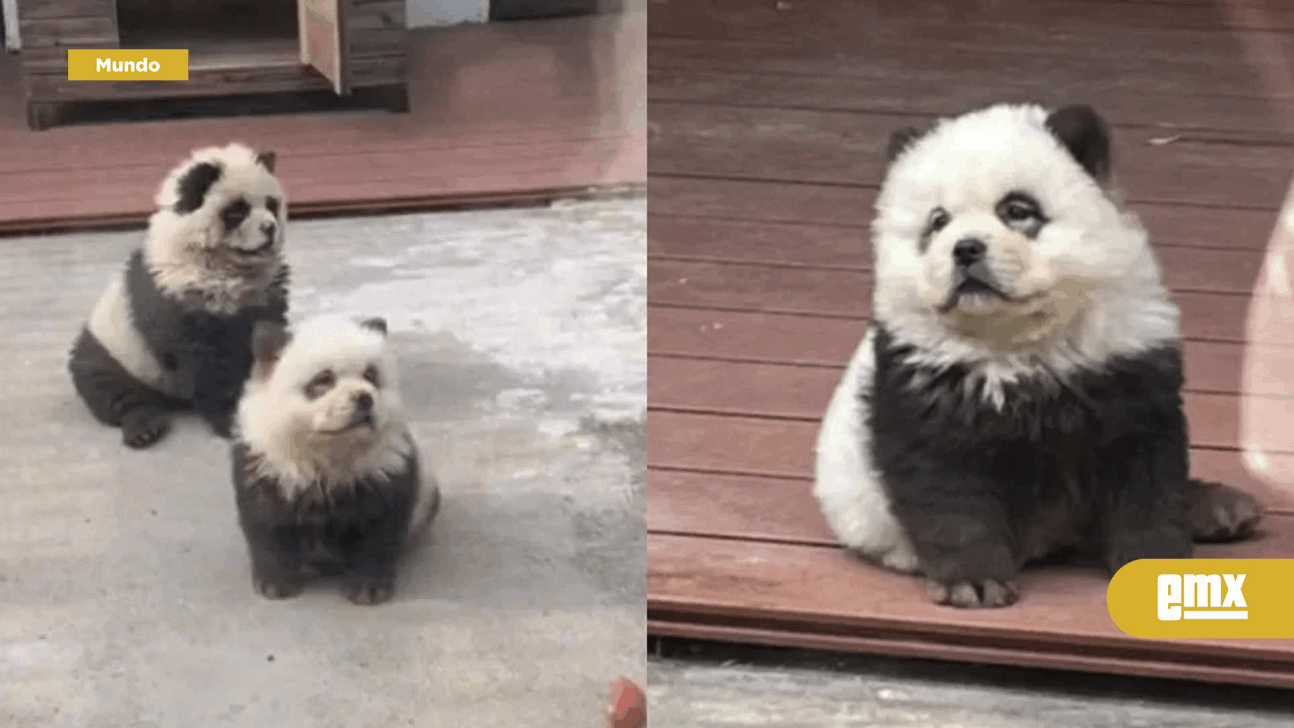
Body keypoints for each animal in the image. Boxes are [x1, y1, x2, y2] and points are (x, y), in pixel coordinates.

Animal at [68, 142, 291, 449]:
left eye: (271, 205)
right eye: (237, 211)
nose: (270, 228)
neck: (228, 269)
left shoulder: (266, 295)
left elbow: (269, 335)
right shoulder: (180, 296)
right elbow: (208, 366)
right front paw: (230, 417)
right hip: (113, 349)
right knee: (109, 388)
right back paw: (143, 426)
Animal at [229, 316, 439, 607]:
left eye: (371, 375)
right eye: (324, 379)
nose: (365, 398)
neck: (330, 452)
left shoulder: (385, 470)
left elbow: (378, 531)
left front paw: (367, 588)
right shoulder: (267, 465)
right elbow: (266, 525)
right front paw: (275, 583)